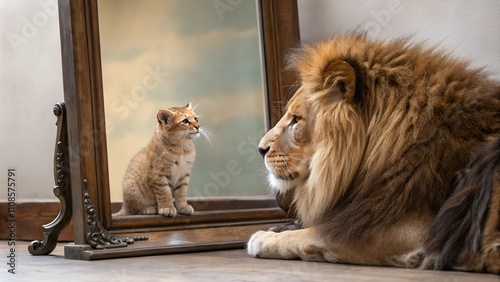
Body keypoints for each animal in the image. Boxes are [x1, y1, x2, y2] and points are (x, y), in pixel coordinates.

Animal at [247, 33, 500, 274]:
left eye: (296, 119)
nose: (260, 149)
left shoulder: (404, 231)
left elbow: (313, 235)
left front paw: (263, 238)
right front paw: (279, 227)